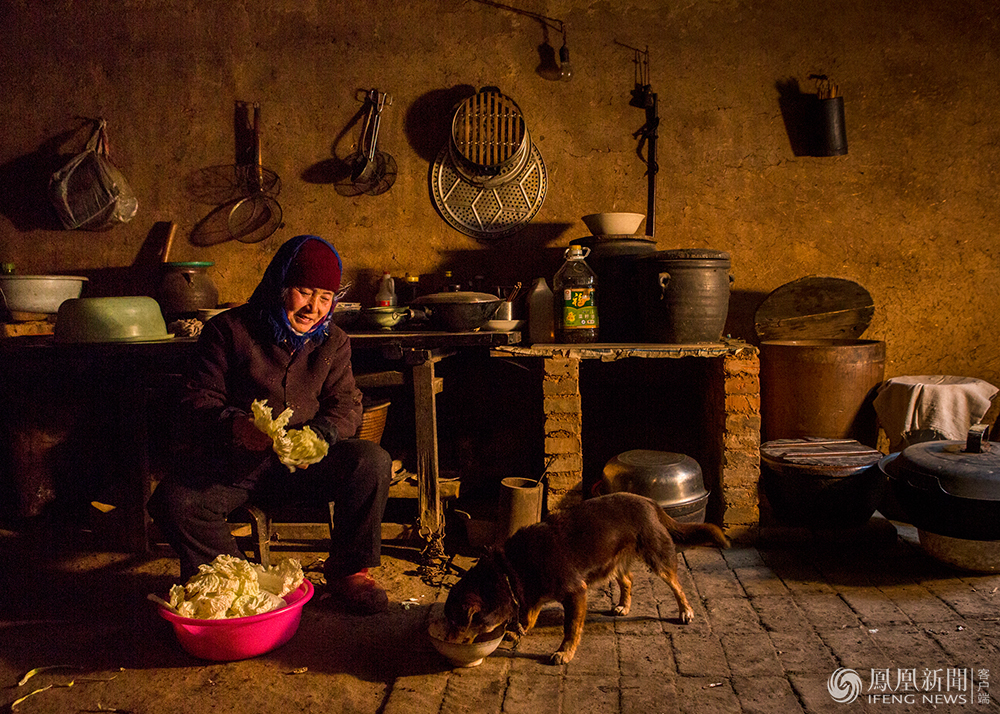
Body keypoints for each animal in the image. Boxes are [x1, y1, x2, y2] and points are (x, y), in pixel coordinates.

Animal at [444, 490, 728, 660]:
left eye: (457, 621)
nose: (446, 641)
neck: (508, 570)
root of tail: (649, 501)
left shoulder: (575, 593)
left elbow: (571, 628)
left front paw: (564, 653)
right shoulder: (532, 594)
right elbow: (529, 615)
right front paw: (520, 630)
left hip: (658, 558)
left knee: (677, 585)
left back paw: (685, 611)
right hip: (612, 561)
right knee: (628, 579)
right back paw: (624, 606)